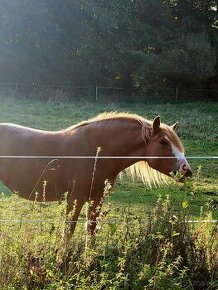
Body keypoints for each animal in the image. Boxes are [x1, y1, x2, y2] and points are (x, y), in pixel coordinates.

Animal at [0, 112, 191, 239]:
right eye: (163, 142)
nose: (186, 169)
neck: (95, 152)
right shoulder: (75, 198)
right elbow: (68, 232)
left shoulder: (96, 198)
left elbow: (90, 228)